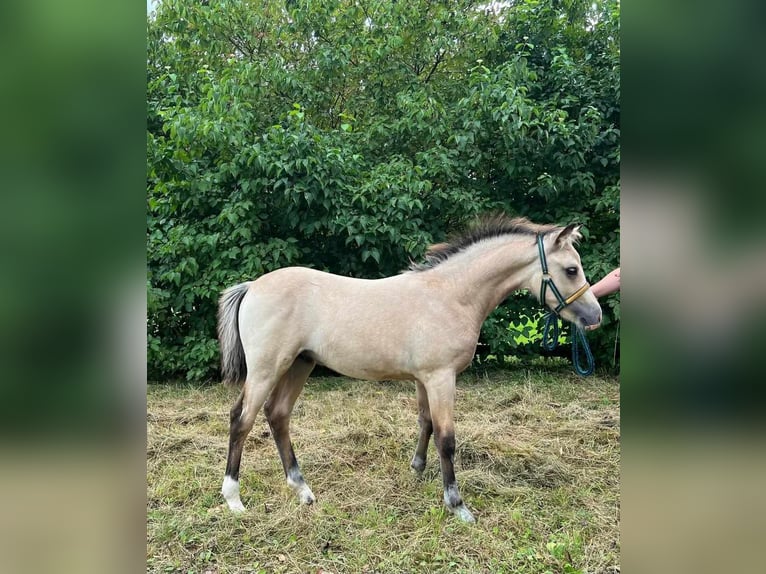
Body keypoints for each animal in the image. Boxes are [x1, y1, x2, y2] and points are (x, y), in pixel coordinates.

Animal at [214, 215, 600, 520]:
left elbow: (425, 422)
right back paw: (234, 499)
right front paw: (457, 504)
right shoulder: (442, 377)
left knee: (277, 415)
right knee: (241, 419)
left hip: (299, 365)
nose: (595, 316)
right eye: (571, 269)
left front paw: (416, 470)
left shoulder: (423, 379)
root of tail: (251, 286)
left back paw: (303, 491)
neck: (451, 294)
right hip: (268, 368)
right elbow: (446, 438)